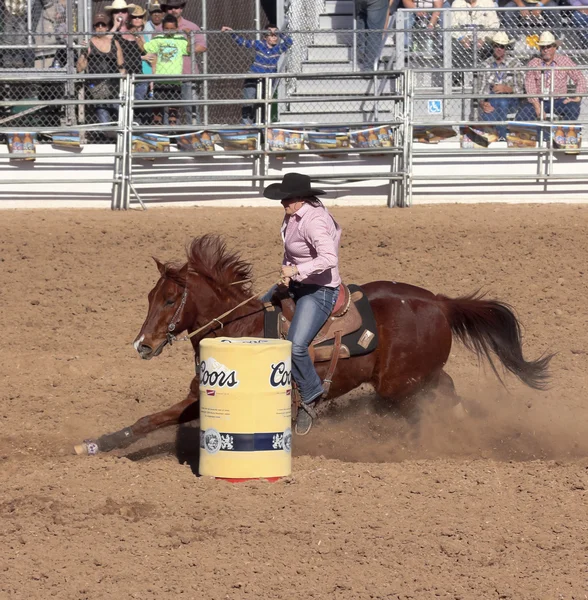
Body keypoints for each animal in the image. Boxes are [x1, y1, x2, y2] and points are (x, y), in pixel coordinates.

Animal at [74, 234, 552, 454]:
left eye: (171, 299)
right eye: (149, 297)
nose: (142, 345)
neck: (244, 322)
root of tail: (439, 301)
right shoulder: (198, 395)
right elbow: (148, 421)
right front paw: (95, 444)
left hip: (401, 385)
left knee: (436, 399)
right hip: (410, 380)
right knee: (445, 392)